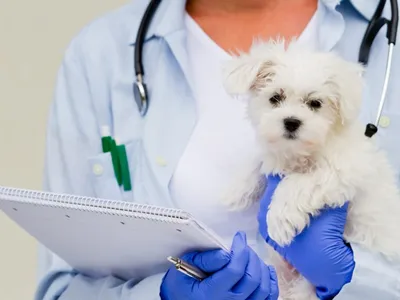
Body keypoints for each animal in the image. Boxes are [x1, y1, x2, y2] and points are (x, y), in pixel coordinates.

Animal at [220, 38, 400, 298]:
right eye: (275, 98)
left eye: (315, 103)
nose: (291, 121)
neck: (300, 153)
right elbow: (261, 161)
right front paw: (235, 190)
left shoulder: (344, 170)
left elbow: (297, 182)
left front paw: (278, 220)